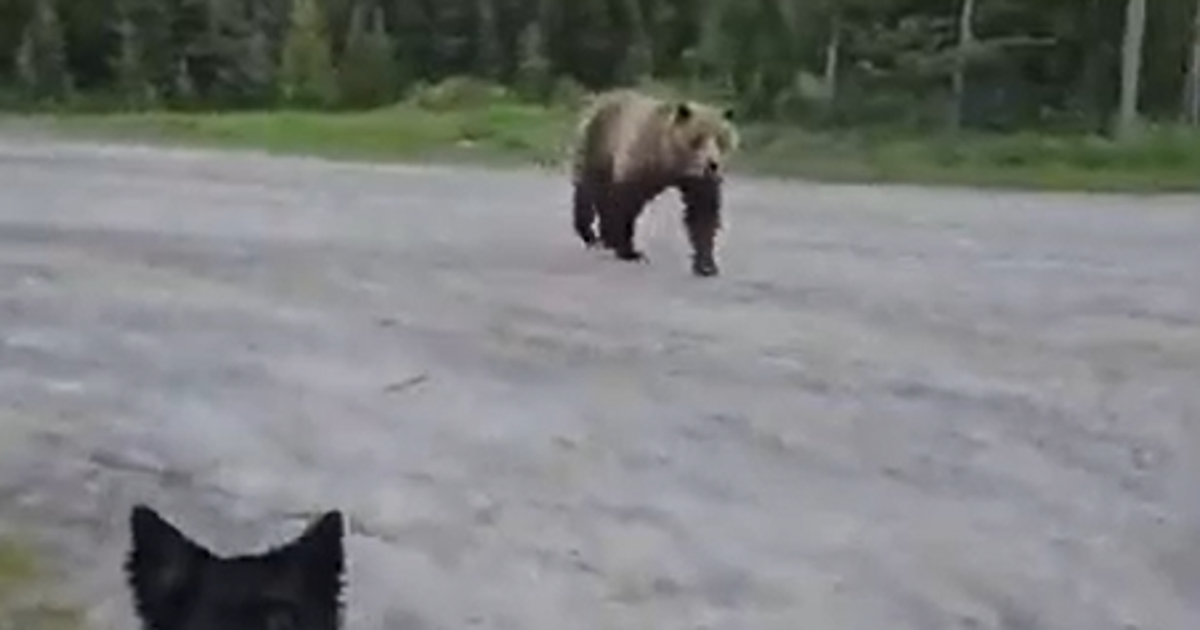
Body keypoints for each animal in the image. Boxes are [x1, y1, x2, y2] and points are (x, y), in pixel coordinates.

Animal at [569, 88, 739, 277]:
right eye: (697, 139)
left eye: (721, 140)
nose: (712, 164)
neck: (672, 161)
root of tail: (601, 97)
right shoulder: (641, 157)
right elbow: (624, 203)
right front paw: (629, 251)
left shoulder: (698, 182)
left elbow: (703, 212)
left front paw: (706, 264)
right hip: (598, 143)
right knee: (588, 187)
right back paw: (589, 233)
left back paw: (605, 238)